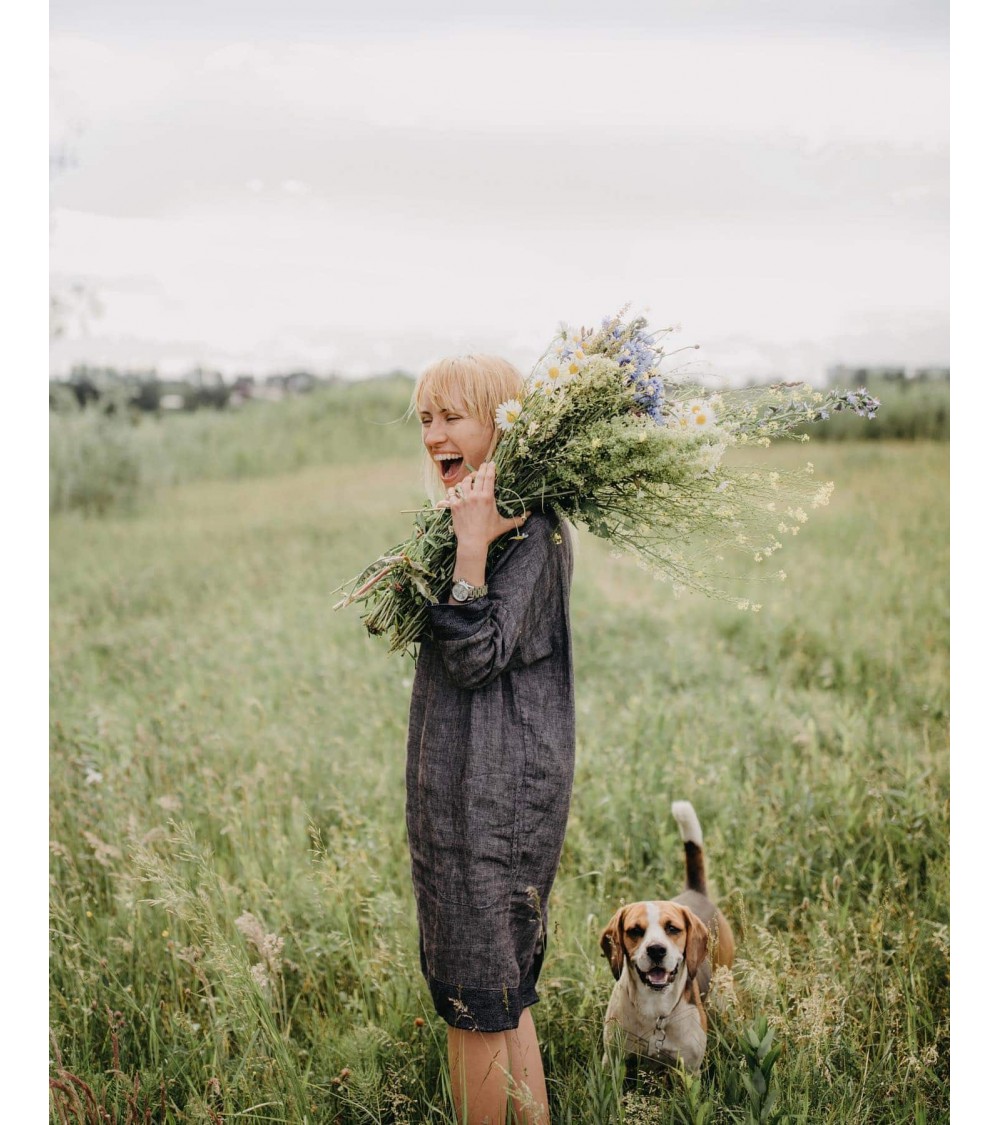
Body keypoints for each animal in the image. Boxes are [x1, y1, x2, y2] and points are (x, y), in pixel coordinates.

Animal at [598, 801, 737, 1071]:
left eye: (672, 929)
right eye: (635, 931)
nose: (656, 950)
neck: (656, 1013)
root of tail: (695, 891)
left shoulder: (689, 1069)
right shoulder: (614, 1061)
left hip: (724, 991)